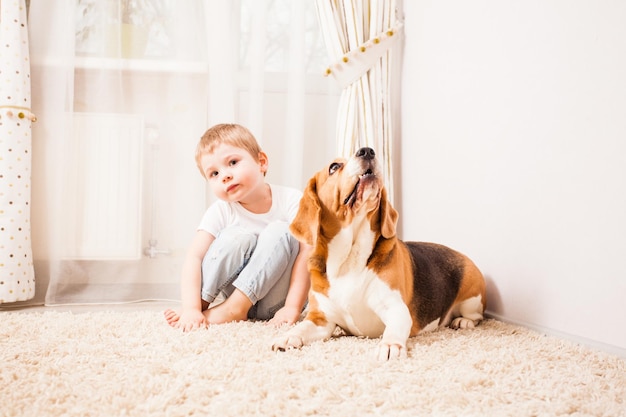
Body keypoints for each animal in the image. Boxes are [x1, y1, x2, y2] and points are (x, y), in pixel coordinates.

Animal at [270, 148, 486, 360]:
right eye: (334, 167)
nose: (367, 151)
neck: (348, 258)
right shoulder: (321, 319)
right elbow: (301, 328)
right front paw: (286, 337)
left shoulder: (396, 309)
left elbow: (393, 331)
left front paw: (390, 345)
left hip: (471, 298)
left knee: (477, 316)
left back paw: (463, 322)